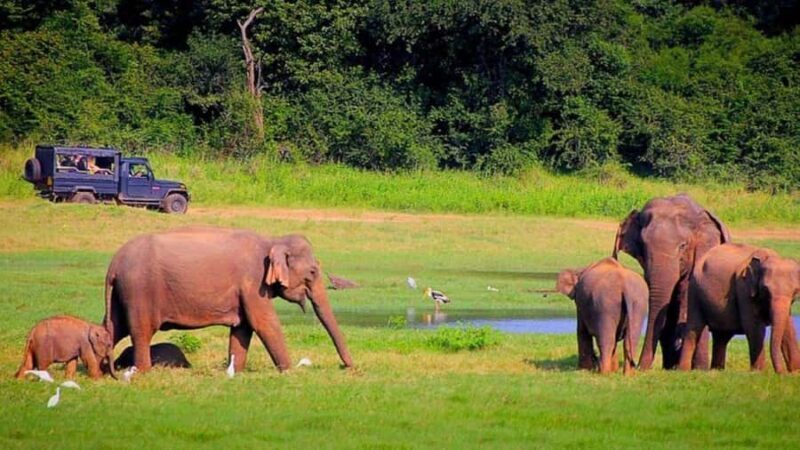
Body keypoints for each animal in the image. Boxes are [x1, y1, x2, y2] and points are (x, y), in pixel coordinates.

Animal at [103, 226, 353, 373]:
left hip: (123, 294)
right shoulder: (253, 282)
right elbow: (263, 323)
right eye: (312, 272)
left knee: (113, 328)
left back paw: (103, 371)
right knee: (141, 330)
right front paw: (289, 371)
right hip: (140, 291)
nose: (347, 367)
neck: (272, 240)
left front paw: (236, 372)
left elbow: (243, 328)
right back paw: (143, 372)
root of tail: (114, 264)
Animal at [679, 244, 800, 373]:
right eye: (765, 290)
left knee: (721, 336)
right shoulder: (744, 288)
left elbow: (788, 328)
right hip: (694, 291)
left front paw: (794, 372)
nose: (781, 373)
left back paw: (717, 370)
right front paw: (759, 372)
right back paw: (684, 371)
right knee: (694, 330)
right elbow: (754, 327)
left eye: (795, 291)